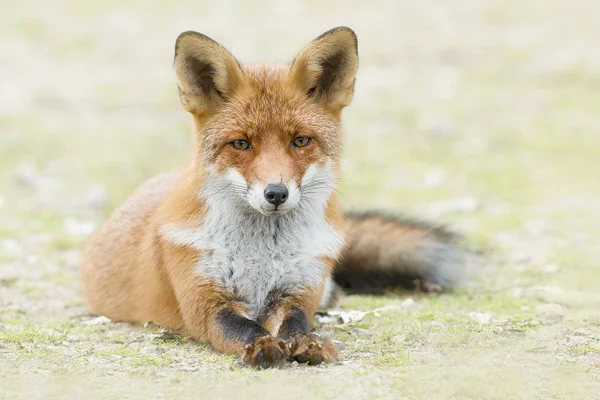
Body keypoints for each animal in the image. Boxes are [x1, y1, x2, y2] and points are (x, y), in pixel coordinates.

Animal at [81, 26, 474, 368]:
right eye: (241, 143)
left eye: (300, 141)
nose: (276, 193)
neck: (262, 255)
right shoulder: (206, 303)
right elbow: (244, 328)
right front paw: (262, 346)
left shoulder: (295, 291)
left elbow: (296, 324)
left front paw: (307, 343)